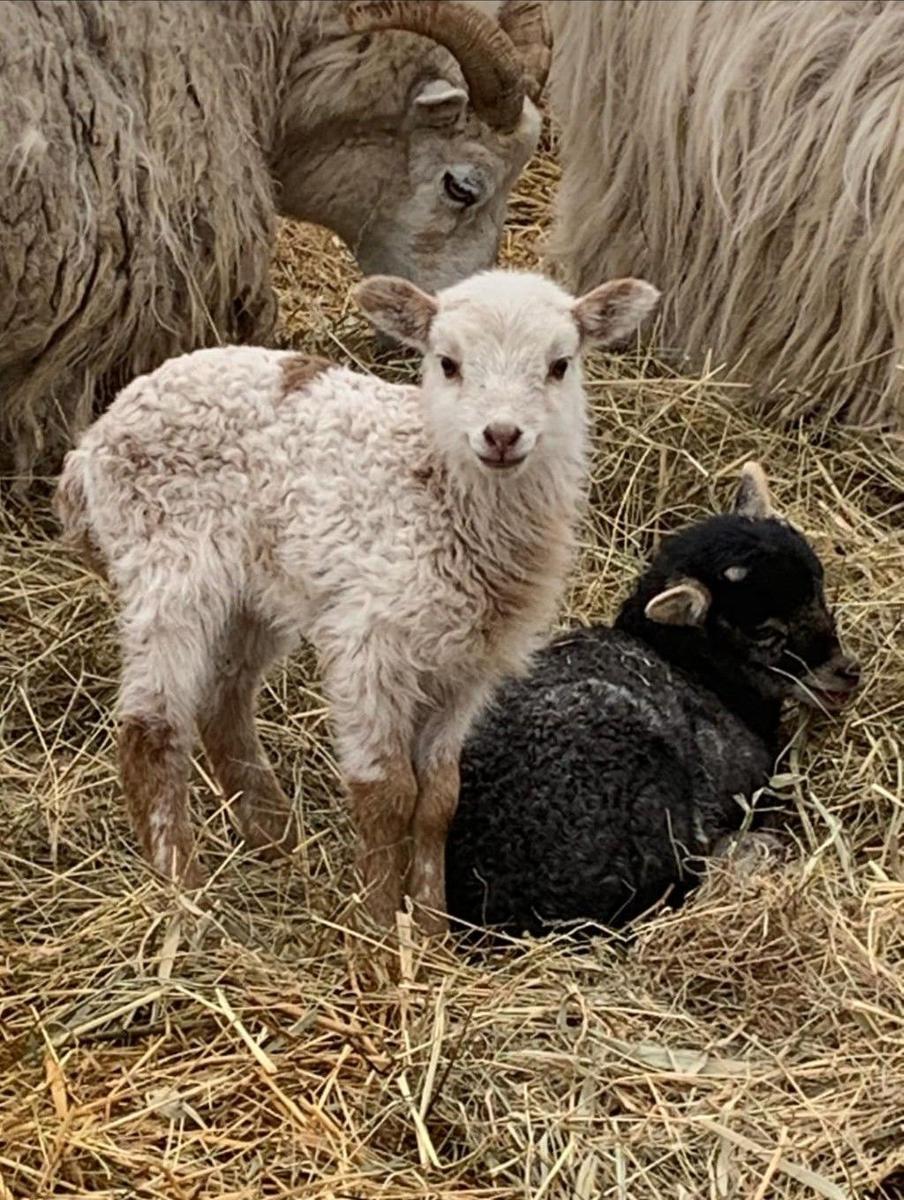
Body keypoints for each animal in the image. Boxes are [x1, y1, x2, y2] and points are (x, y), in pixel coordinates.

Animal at [53, 267, 660, 935]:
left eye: (559, 365)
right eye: (448, 363)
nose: (501, 435)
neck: (438, 494)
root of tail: (93, 442)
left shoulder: (467, 668)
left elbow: (439, 797)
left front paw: (431, 928)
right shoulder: (369, 641)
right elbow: (386, 794)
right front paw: (375, 931)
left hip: (256, 589)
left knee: (223, 702)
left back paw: (276, 839)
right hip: (167, 565)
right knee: (151, 728)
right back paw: (182, 896)